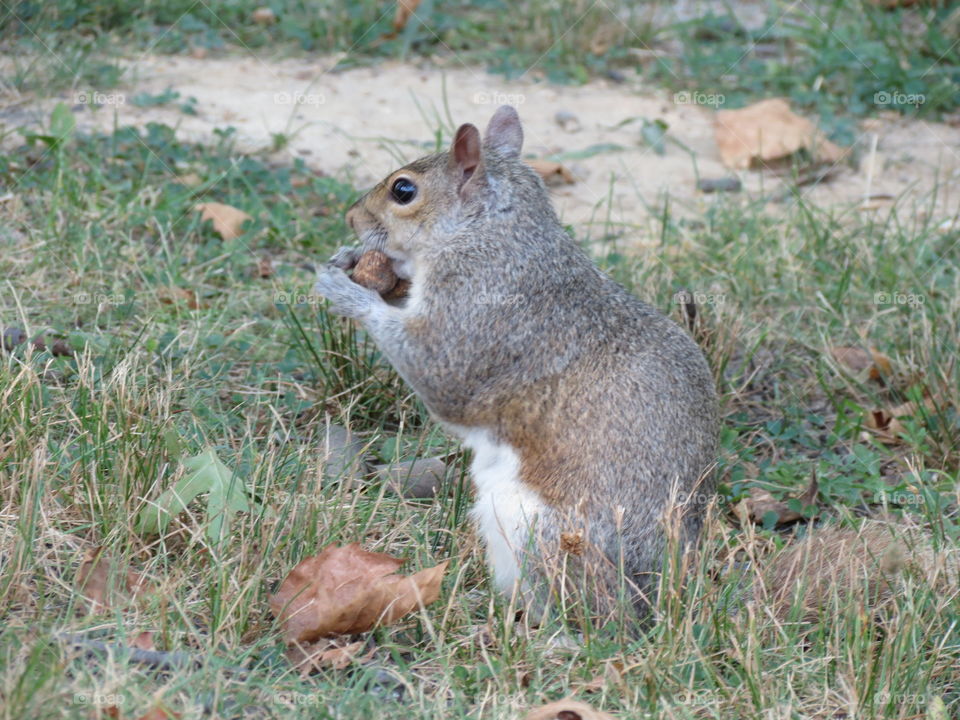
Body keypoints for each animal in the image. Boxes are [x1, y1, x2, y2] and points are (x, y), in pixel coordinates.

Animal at [316, 104, 720, 620]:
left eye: (403, 190)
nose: (351, 217)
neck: (492, 233)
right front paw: (350, 261)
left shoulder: (476, 319)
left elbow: (437, 373)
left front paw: (347, 291)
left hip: (547, 538)